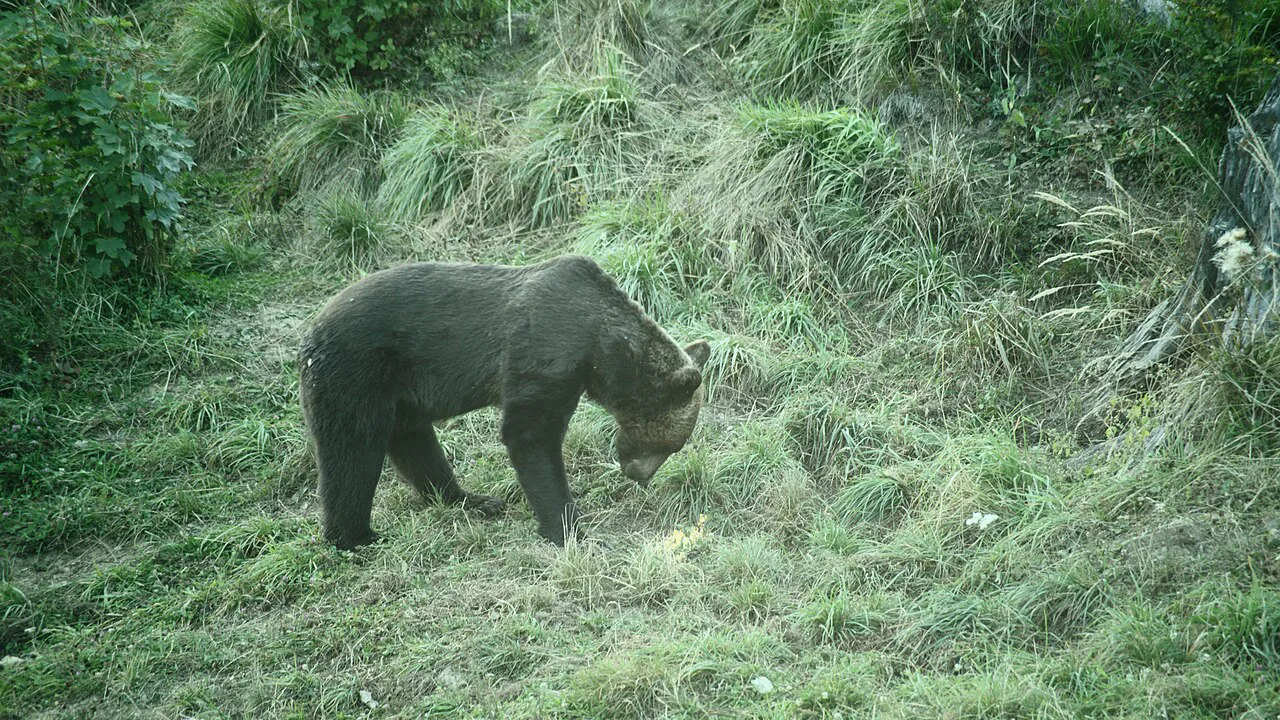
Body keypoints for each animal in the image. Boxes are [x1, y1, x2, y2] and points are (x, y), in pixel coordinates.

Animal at [297, 254, 710, 550]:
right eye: (669, 445)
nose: (639, 475)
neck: (600, 350)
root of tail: (311, 330)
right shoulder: (544, 354)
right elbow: (529, 435)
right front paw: (571, 531)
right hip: (356, 373)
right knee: (352, 451)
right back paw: (355, 536)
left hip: (401, 392)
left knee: (416, 446)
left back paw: (473, 499)